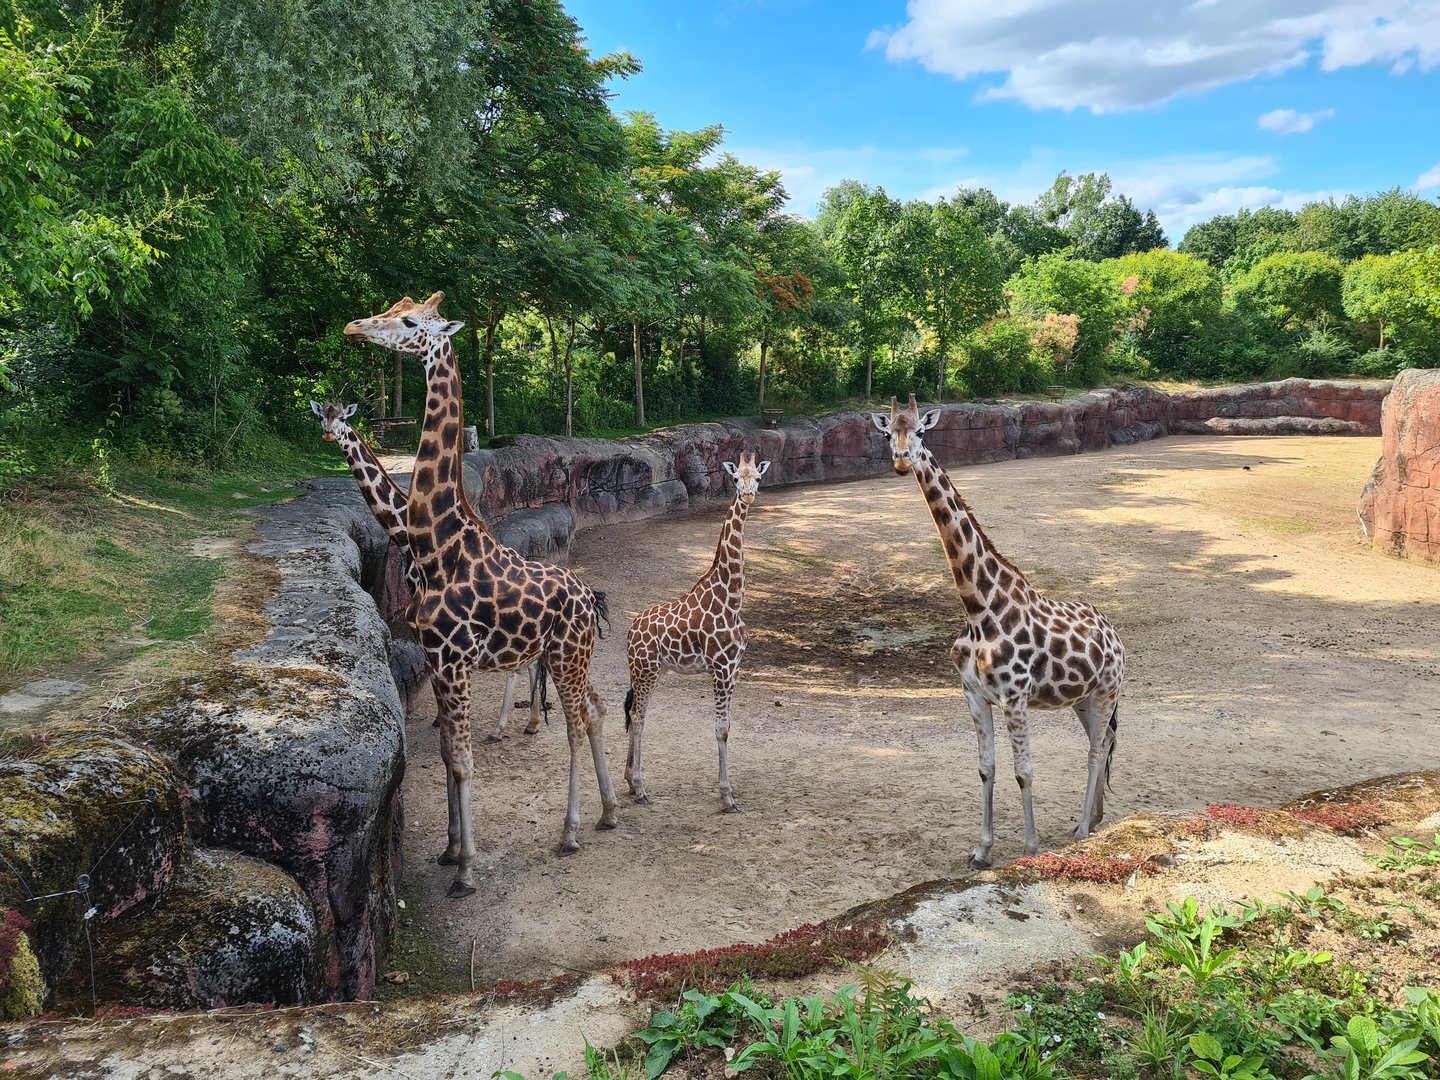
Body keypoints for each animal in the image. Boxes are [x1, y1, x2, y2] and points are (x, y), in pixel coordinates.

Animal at [309, 400, 548, 742]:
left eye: (342, 417)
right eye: (321, 415)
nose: (329, 433)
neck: (404, 535)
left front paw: (442, 719)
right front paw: (442, 717)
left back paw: (502, 728)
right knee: (528, 658)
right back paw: (530, 722)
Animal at [343, 292, 618, 897]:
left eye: (409, 320)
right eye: (393, 306)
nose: (354, 326)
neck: (436, 543)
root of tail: (589, 598)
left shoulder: (452, 660)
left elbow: (463, 760)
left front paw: (466, 867)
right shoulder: (439, 659)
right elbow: (449, 752)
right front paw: (448, 849)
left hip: (566, 656)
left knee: (575, 724)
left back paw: (570, 831)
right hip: (566, 658)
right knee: (595, 708)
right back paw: (610, 810)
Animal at [622, 451, 771, 813]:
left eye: (758, 477)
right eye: (736, 478)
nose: (748, 495)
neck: (732, 598)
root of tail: (630, 631)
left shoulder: (735, 667)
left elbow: (728, 726)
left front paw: (730, 791)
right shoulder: (720, 667)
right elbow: (720, 729)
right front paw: (726, 796)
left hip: (651, 670)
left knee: (634, 714)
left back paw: (631, 784)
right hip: (646, 669)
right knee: (638, 715)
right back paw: (640, 787)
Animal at [872, 395, 1125, 868]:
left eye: (920, 431)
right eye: (888, 432)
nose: (900, 460)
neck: (978, 608)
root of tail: (1116, 635)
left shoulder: (1015, 697)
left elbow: (1024, 771)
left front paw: (1030, 848)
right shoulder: (974, 694)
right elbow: (986, 767)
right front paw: (982, 849)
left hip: (1106, 690)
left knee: (1095, 750)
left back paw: (1083, 829)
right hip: (1083, 699)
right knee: (1105, 742)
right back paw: (1095, 820)